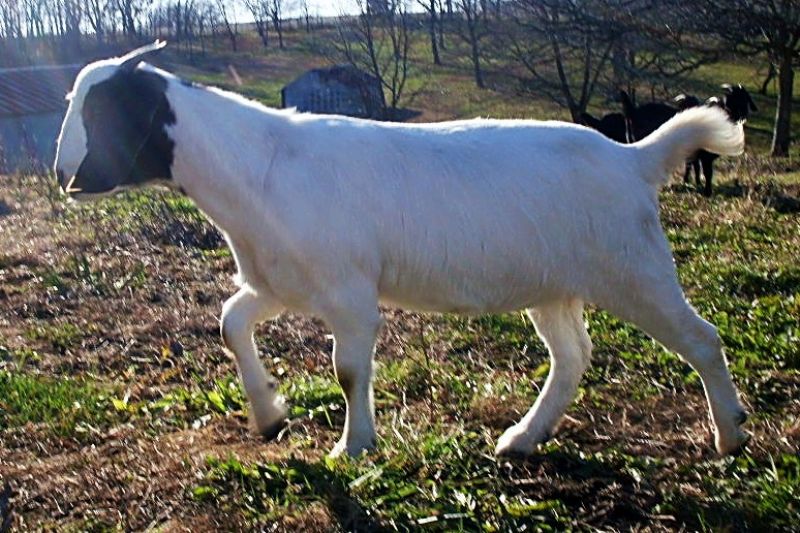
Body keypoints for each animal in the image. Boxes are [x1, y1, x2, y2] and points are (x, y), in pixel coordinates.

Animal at [54, 43, 750, 458]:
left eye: (105, 110)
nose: (65, 177)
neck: (258, 166)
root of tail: (634, 158)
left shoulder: (348, 292)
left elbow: (348, 369)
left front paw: (353, 445)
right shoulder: (280, 280)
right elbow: (230, 322)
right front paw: (270, 414)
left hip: (633, 268)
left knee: (702, 337)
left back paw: (731, 435)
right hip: (555, 283)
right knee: (573, 356)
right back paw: (523, 438)